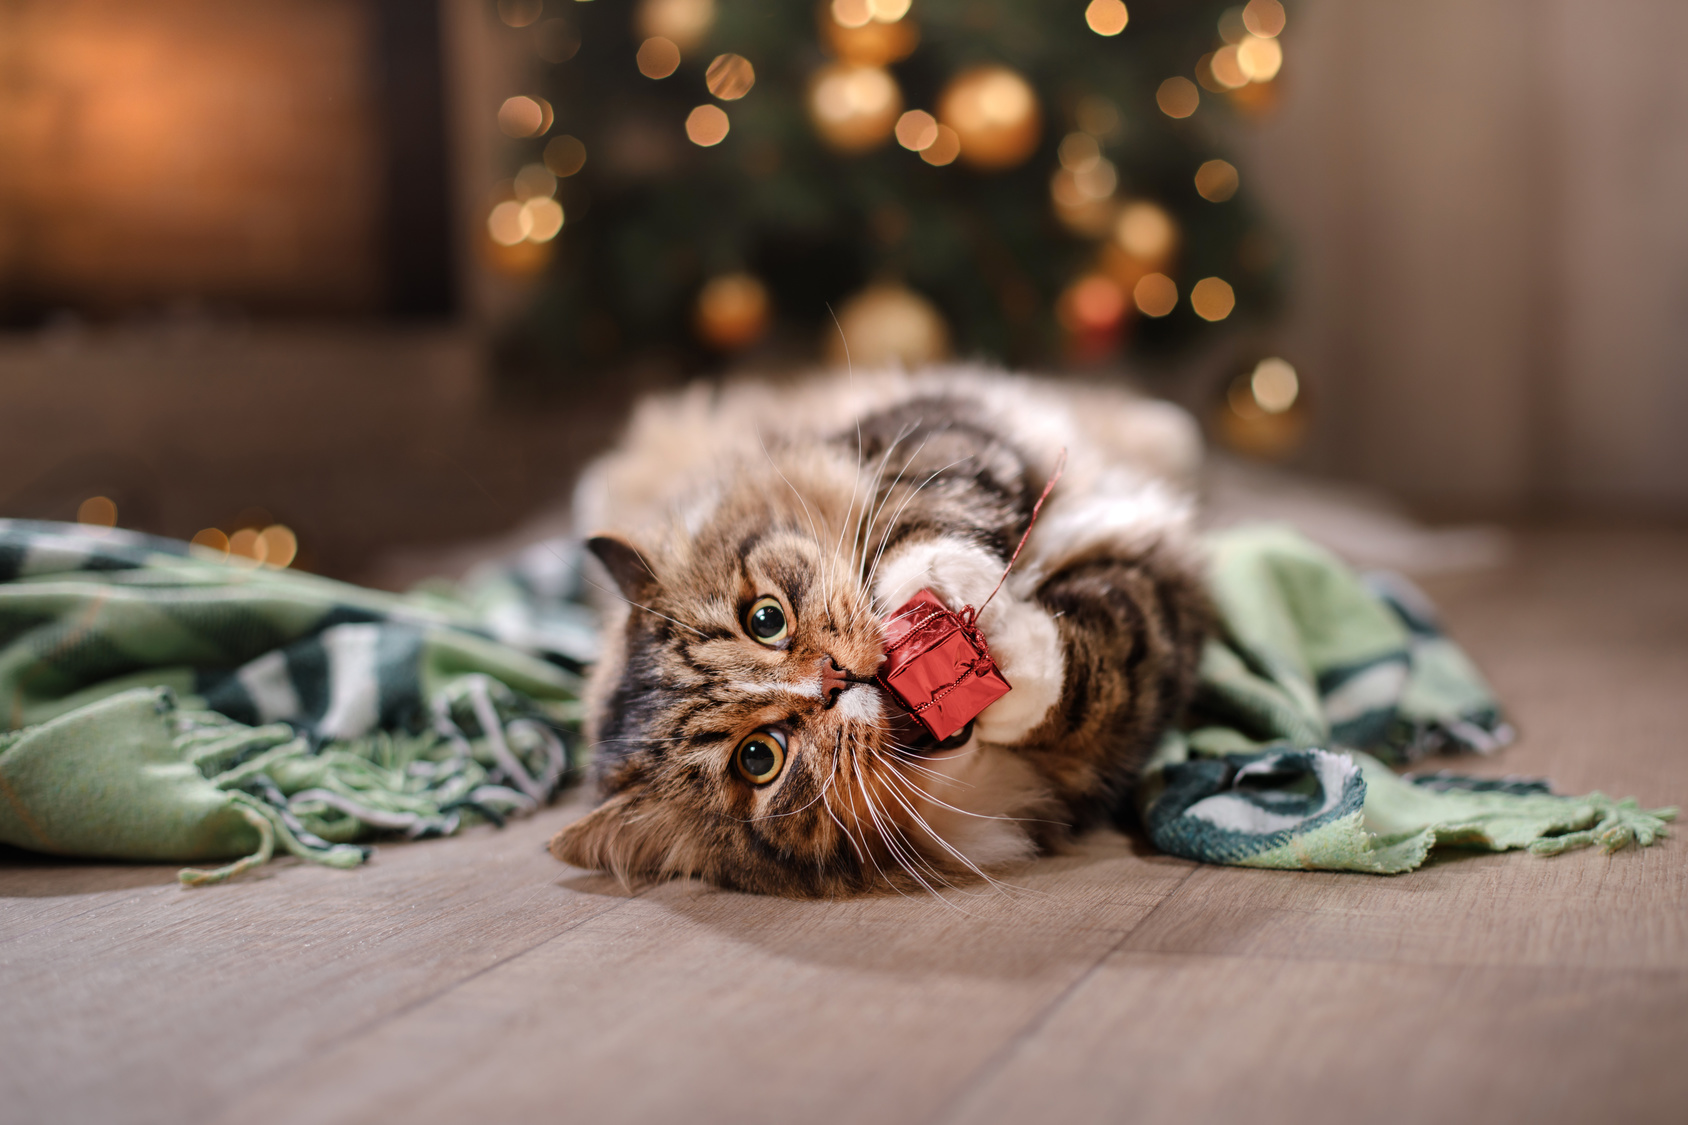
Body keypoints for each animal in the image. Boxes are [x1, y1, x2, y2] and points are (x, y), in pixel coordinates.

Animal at [553, 368, 1215, 891]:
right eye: (759, 758)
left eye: (765, 619)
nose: (835, 680)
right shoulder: (1149, 640)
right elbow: (1088, 671)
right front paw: (994, 659)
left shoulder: (935, 427)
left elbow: (932, 500)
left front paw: (939, 594)